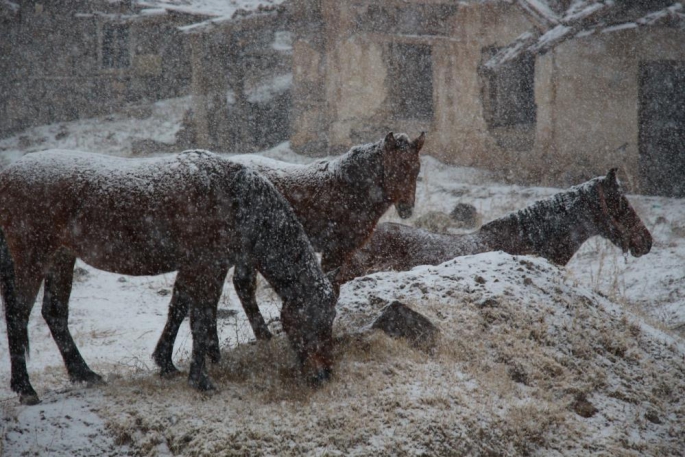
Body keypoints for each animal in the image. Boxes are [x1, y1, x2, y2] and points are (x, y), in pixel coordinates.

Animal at [0, 149, 336, 402]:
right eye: (315, 322)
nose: (324, 375)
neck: (234, 197)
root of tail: (7, 175)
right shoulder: (207, 267)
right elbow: (200, 320)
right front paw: (201, 380)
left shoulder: (193, 267)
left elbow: (178, 309)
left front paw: (166, 363)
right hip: (32, 258)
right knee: (18, 315)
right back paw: (26, 389)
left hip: (61, 258)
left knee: (54, 313)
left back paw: (84, 373)